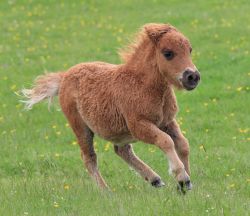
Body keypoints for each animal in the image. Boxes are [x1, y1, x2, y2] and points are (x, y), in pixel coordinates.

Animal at [21, 23, 201, 192]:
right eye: (168, 53)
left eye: (190, 50)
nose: (192, 76)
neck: (142, 84)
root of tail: (64, 76)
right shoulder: (138, 125)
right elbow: (166, 141)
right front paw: (182, 178)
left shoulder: (167, 121)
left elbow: (183, 144)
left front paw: (186, 183)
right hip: (81, 127)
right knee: (89, 157)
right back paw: (106, 192)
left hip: (120, 131)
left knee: (121, 150)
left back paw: (154, 179)